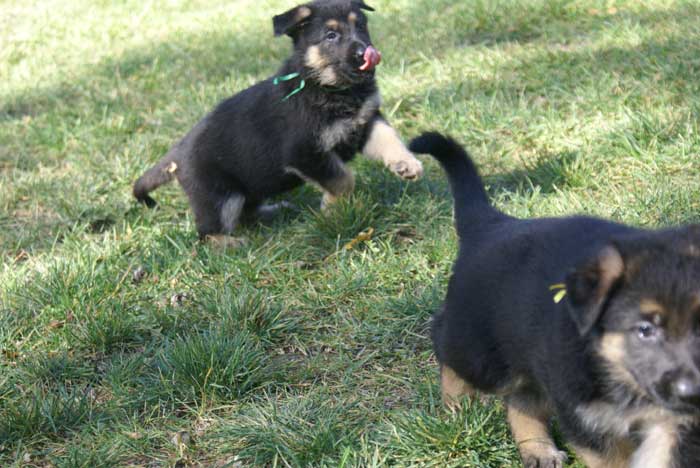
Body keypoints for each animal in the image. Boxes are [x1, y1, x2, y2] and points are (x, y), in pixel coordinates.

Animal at [134, 0, 424, 247]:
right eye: (331, 35)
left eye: (361, 26)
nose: (366, 53)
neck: (328, 87)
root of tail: (176, 153)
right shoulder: (303, 152)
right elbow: (343, 178)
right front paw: (333, 209)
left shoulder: (365, 121)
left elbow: (389, 138)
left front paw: (406, 163)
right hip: (219, 196)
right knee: (206, 233)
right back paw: (228, 243)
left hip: (249, 187)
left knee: (247, 212)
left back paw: (273, 212)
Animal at [410, 132, 700, 468]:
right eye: (645, 330)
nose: (693, 393)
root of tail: (492, 225)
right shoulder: (586, 421)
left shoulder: (672, 423)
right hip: (479, 352)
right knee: (443, 339)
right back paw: (456, 405)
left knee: (521, 401)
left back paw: (538, 449)